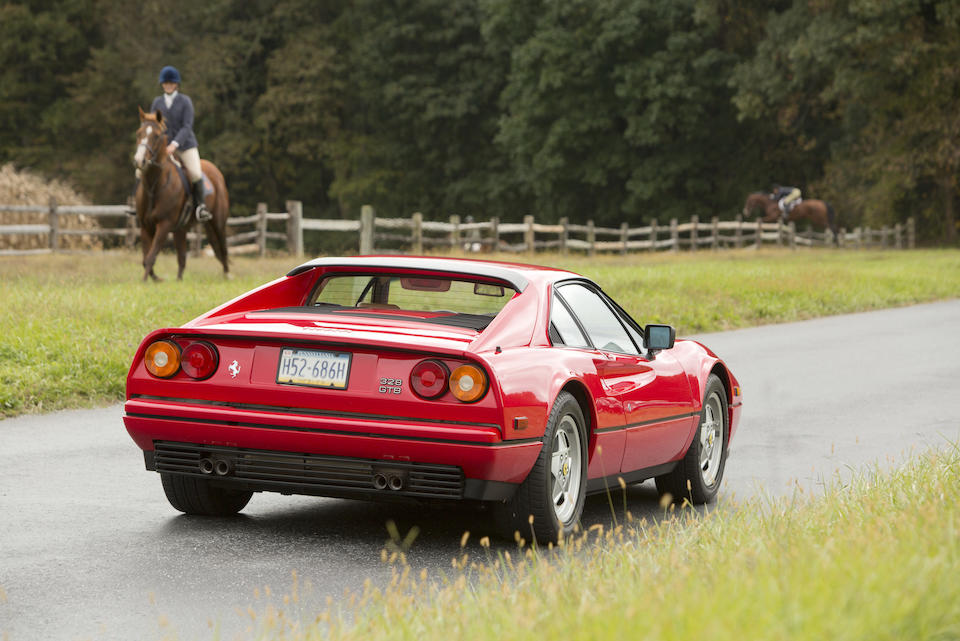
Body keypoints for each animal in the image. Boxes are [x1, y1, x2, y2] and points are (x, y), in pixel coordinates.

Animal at [132, 106, 230, 282]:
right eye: (139, 133)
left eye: (156, 136)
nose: (139, 161)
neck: (153, 186)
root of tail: (216, 171)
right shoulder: (145, 226)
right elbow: (146, 258)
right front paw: (155, 279)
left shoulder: (164, 225)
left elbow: (151, 256)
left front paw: (145, 281)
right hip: (181, 229)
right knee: (182, 257)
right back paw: (178, 280)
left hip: (218, 221)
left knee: (223, 247)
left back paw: (227, 275)